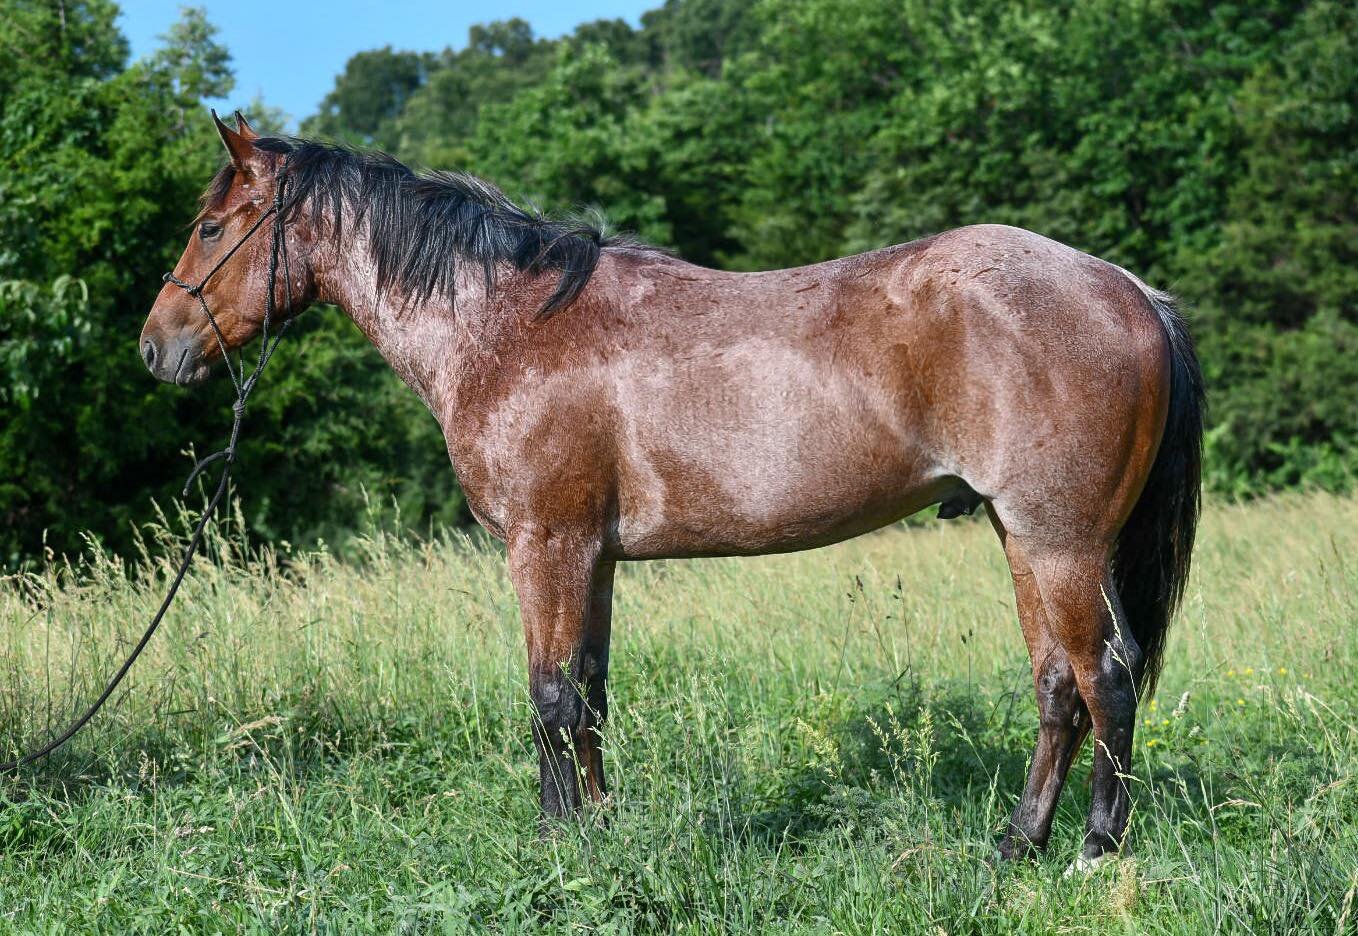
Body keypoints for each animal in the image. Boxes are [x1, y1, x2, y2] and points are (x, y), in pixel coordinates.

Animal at [140, 112, 1203, 869]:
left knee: (1106, 677)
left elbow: (550, 696)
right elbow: (590, 693)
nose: (158, 348)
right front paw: (598, 830)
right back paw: (1017, 844)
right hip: (1023, 538)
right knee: (1059, 686)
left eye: (209, 226)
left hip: (1060, 541)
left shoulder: (545, 545)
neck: (508, 326)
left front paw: (558, 845)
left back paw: (1095, 853)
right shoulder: (592, 556)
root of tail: (1128, 288)